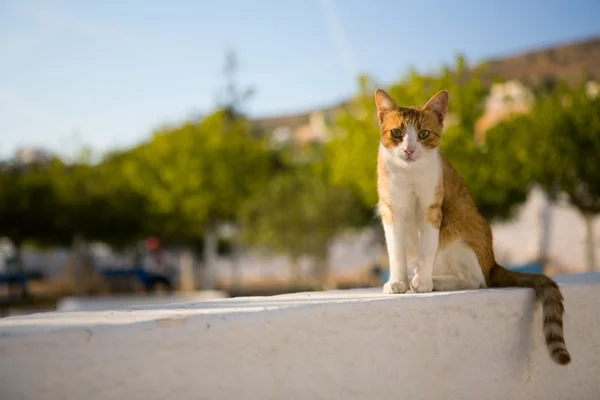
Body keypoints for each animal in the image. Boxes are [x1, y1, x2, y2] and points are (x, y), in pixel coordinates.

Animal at [376, 89, 572, 368]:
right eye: (397, 133)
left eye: (423, 134)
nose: (410, 149)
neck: (408, 174)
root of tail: (493, 262)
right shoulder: (391, 212)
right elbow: (395, 252)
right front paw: (397, 282)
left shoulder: (432, 210)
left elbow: (427, 251)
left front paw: (422, 282)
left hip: (458, 225)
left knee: (476, 279)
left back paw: (431, 280)